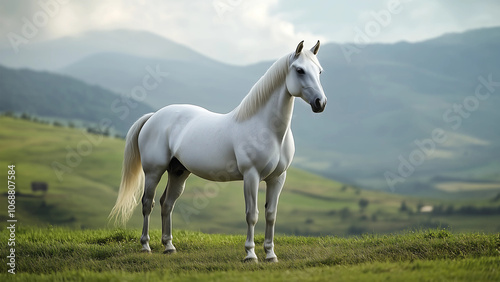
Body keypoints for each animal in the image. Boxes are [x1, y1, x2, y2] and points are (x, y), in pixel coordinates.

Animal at [110, 40, 326, 262]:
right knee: (148, 203)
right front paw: (250, 254)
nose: (321, 103)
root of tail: (154, 116)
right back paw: (146, 246)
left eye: (319, 71)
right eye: (299, 70)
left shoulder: (277, 178)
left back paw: (169, 246)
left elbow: (271, 215)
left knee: (166, 204)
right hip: (154, 171)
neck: (267, 130)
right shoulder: (251, 176)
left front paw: (270, 255)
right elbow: (252, 215)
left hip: (178, 172)